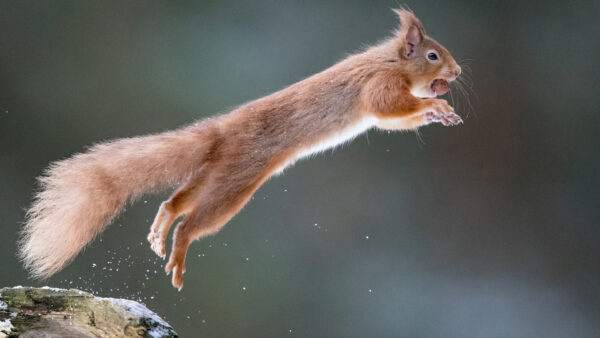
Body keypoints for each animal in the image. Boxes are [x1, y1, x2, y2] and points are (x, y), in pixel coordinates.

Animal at [21, 9, 464, 290]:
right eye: (432, 55)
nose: (458, 72)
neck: (392, 61)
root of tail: (223, 131)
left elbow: (392, 120)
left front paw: (438, 113)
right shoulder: (378, 86)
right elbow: (388, 108)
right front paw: (437, 107)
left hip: (218, 174)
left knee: (175, 201)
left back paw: (160, 230)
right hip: (236, 183)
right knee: (192, 223)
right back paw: (177, 256)